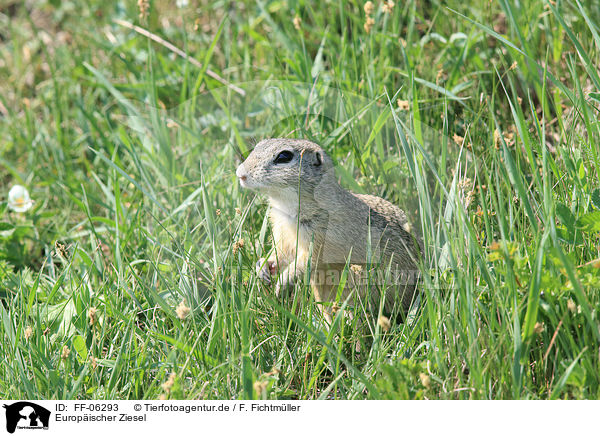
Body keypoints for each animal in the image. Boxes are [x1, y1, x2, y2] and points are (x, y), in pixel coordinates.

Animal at [236, 138, 422, 322]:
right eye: (259, 145)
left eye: (284, 156)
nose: (240, 174)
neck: (286, 207)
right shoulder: (283, 232)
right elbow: (282, 253)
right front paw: (263, 266)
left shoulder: (323, 238)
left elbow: (309, 260)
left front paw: (283, 281)